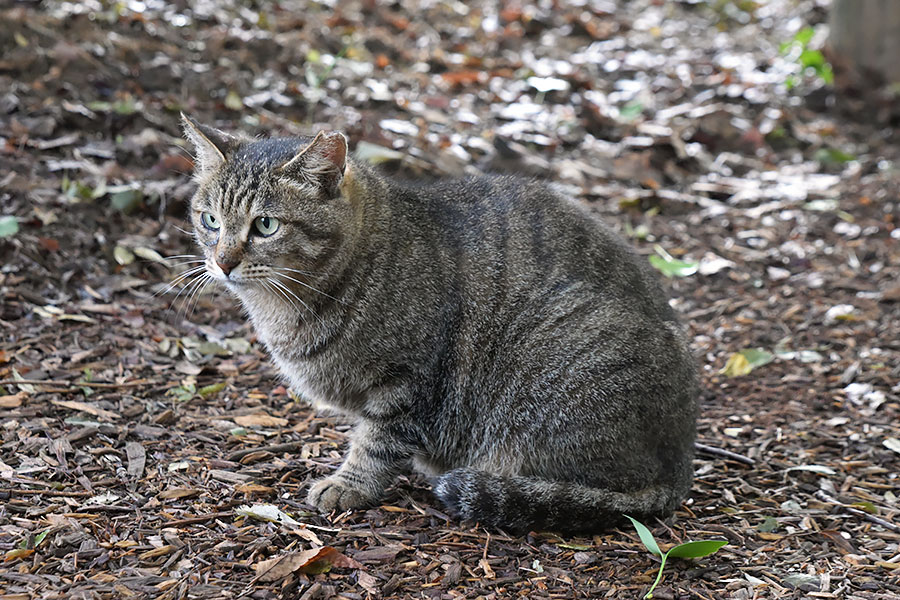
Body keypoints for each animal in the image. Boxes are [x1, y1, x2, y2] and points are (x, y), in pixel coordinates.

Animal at [183, 113, 700, 536]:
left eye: (265, 226)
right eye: (210, 220)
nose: (222, 262)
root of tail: (680, 465)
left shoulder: (408, 381)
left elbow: (376, 442)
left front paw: (349, 484)